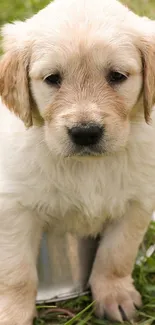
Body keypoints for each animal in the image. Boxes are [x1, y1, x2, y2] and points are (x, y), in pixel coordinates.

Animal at [0, 0, 155, 322]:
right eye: (52, 79)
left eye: (117, 76)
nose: (85, 133)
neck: (88, 166)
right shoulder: (12, 208)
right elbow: (17, 272)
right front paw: (12, 314)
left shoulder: (138, 201)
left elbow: (116, 254)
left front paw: (115, 296)